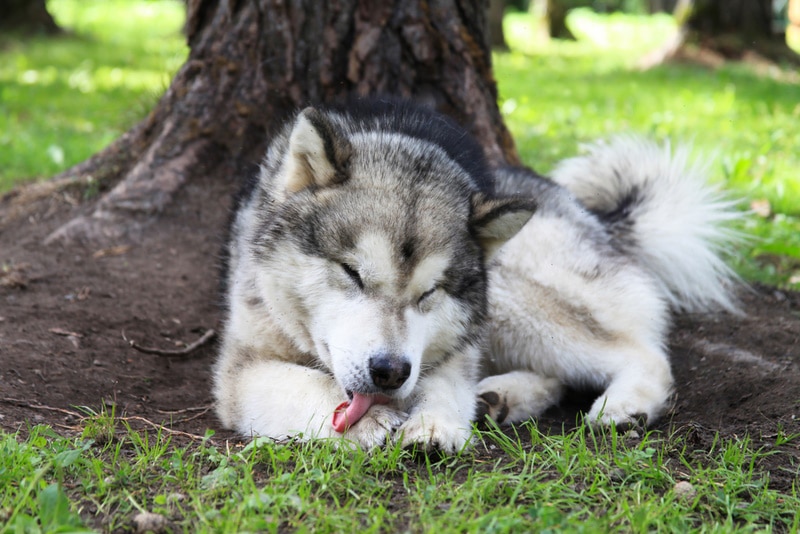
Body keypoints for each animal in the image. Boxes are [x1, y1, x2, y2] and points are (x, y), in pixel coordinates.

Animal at [211, 97, 736, 452]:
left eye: (430, 293)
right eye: (352, 273)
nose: (389, 372)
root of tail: (594, 216)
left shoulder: (455, 346)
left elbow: (445, 383)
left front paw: (435, 424)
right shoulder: (241, 366)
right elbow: (302, 382)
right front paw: (368, 421)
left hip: (511, 292)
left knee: (644, 354)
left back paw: (625, 404)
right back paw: (501, 397)